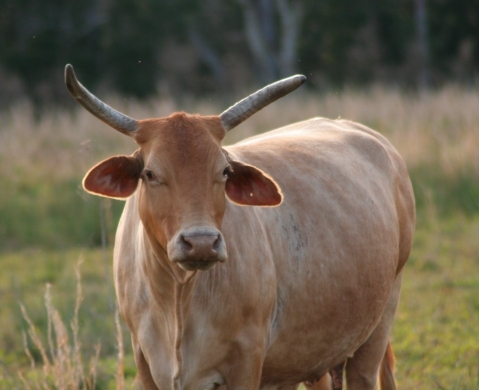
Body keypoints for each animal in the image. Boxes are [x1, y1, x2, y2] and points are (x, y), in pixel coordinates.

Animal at [64, 64, 416, 390]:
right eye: (150, 173)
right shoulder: (144, 360)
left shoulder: (247, 359)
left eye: (224, 171)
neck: (178, 298)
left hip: (380, 320)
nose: (201, 242)